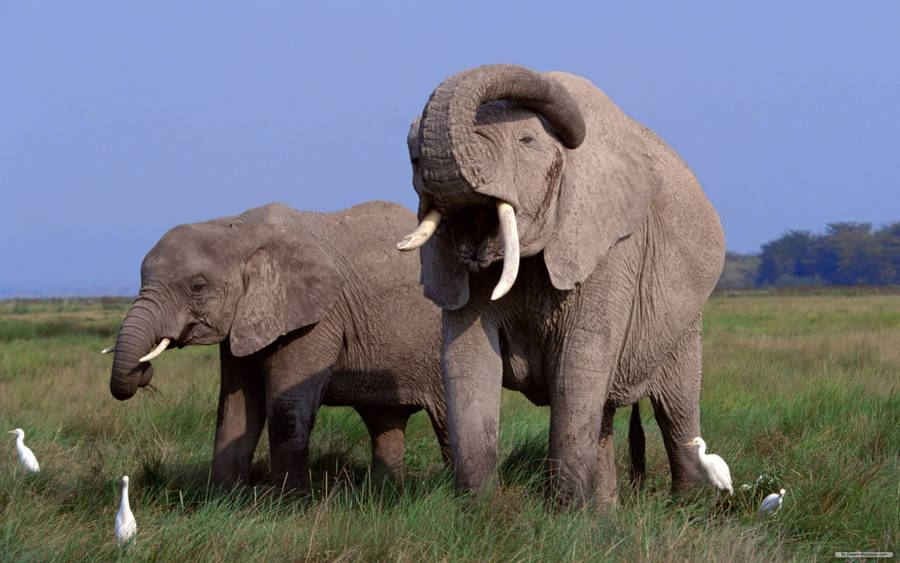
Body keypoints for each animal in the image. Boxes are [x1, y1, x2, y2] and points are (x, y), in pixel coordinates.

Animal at [106, 201, 450, 488]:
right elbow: (236, 405)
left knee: (445, 417)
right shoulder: (245, 320)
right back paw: (382, 492)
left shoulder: (316, 316)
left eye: (197, 286)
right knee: (384, 421)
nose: (144, 371)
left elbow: (287, 405)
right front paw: (222, 499)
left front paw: (290, 503)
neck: (238, 229)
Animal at [398, 64, 725, 507]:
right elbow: (467, 361)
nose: (419, 157)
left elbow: (578, 362)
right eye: (411, 151)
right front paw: (478, 511)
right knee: (604, 413)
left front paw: (564, 514)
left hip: (685, 318)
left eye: (527, 141)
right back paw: (604, 513)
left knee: (676, 408)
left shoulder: (611, 249)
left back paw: (688, 507)